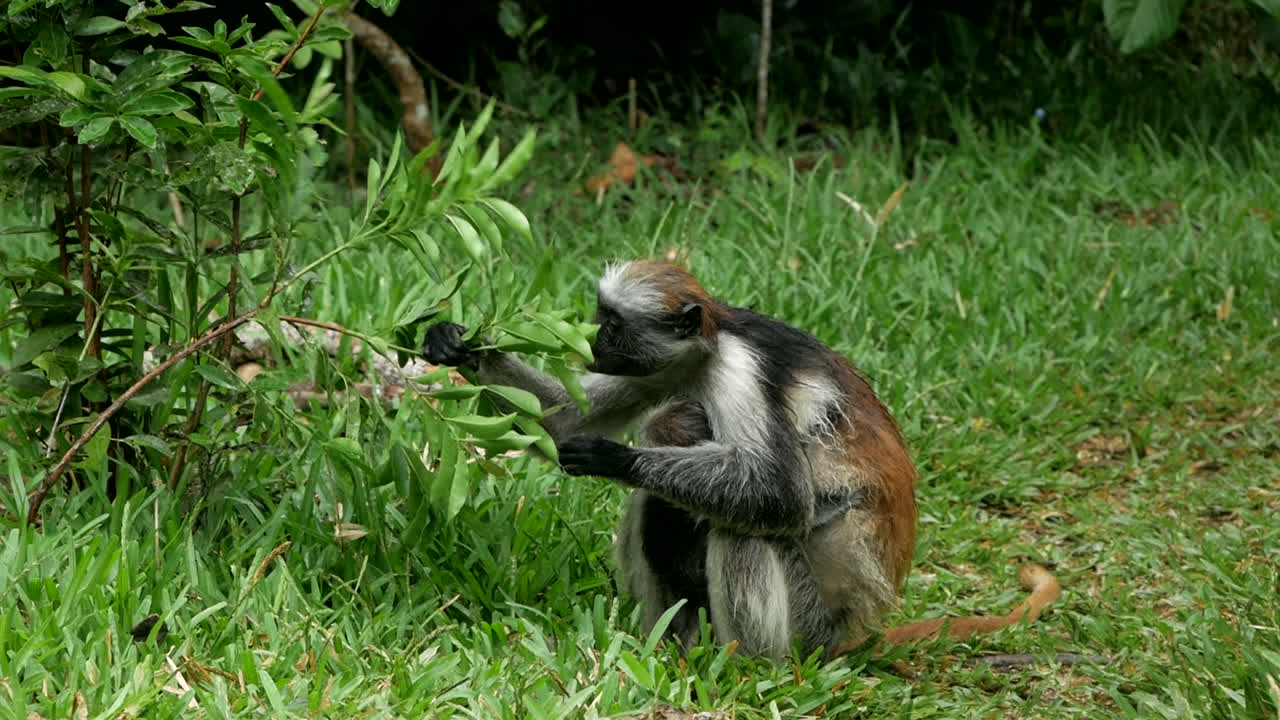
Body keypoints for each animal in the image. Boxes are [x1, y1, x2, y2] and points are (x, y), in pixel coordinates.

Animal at [422, 259, 1060, 661]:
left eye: (612, 324)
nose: (593, 342)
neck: (711, 344)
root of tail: (854, 627)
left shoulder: (741, 370)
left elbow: (781, 497)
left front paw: (613, 457)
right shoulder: (668, 367)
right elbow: (562, 422)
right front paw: (459, 346)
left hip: (809, 626)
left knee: (742, 529)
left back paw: (742, 668)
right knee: (659, 506)